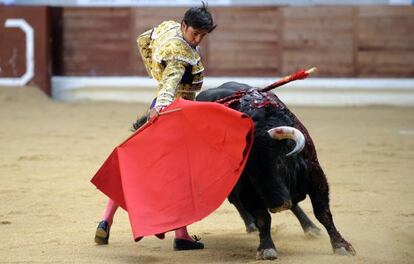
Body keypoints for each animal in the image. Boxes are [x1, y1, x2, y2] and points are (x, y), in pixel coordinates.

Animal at [195, 82, 356, 260]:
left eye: (279, 161)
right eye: (249, 171)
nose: (277, 205)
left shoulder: (315, 176)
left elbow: (322, 212)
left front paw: (341, 245)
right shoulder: (246, 189)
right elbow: (263, 217)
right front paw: (267, 248)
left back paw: (310, 228)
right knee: (235, 199)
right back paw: (251, 225)